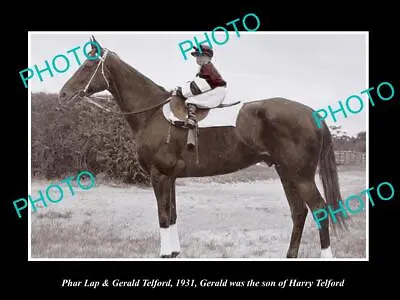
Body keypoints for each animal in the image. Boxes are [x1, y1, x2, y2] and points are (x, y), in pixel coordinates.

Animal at [57, 37, 346, 258]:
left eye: (87, 65)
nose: (62, 94)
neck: (152, 113)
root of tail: (313, 114)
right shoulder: (170, 177)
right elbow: (172, 215)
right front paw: (174, 252)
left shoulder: (159, 176)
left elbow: (163, 217)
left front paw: (165, 253)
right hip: (286, 173)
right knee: (299, 212)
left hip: (301, 176)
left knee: (319, 210)